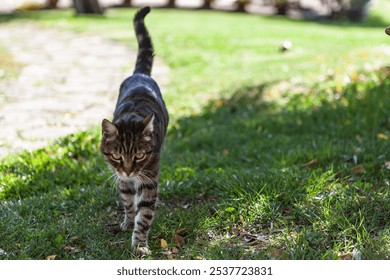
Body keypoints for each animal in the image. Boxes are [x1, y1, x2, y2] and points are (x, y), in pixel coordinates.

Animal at [100, 6, 168, 256]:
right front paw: (128, 222)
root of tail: (140, 74)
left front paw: (139, 243)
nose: (129, 171)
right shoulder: (119, 177)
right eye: (117, 155)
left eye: (139, 155)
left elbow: (145, 213)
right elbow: (129, 203)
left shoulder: (148, 178)